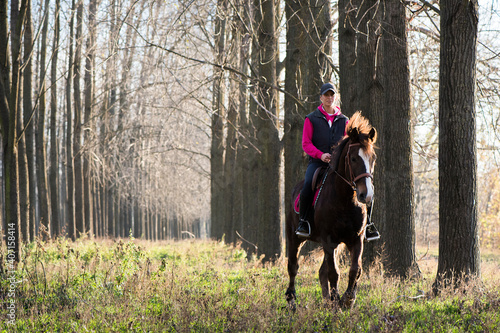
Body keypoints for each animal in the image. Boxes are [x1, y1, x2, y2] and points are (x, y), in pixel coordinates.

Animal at [286, 111, 376, 308]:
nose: (366, 195)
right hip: (295, 237)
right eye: (353, 158)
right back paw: (291, 299)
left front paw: (347, 299)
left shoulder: (356, 239)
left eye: (372, 158)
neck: (345, 201)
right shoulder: (328, 240)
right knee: (293, 267)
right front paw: (337, 301)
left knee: (321, 271)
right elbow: (333, 272)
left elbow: (355, 270)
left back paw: (327, 301)